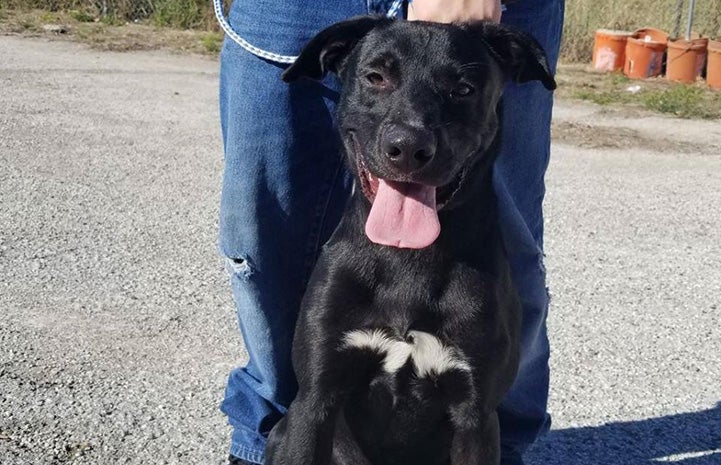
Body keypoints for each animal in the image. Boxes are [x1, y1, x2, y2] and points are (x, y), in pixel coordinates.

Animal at [268, 16, 556, 464]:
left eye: (463, 89)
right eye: (375, 77)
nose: (407, 147)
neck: (408, 260)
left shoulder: (476, 416)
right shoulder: (314, 398)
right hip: (280, 431)